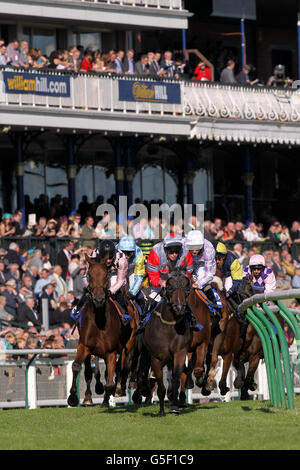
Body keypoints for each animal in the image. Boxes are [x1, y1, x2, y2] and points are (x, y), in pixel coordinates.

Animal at [67, 253, 137, 408]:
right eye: (89, 275)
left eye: (106, 275)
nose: (99, 299)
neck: (99, 322)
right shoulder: (84, 346)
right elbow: (76, 366)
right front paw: (73, 397)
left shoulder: (111, 352)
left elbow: (110, 380)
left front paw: (108, 397)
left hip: (128, 345)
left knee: (122, 367)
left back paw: (117, 390)